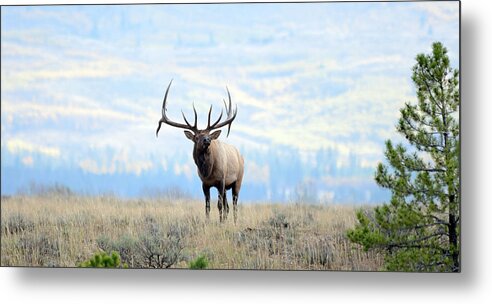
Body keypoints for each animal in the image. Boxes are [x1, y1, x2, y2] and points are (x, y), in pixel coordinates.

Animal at [156, 80, 244, 223]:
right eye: (196, 137)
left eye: (208, 135)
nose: (207, 140)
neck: (208, 172)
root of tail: (240, 155)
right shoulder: (204, 183)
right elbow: (207, 206)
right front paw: (209, 221)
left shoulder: (221, 180)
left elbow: (219, 205)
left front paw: (220, 223)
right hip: (227, 187)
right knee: (228, 206)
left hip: (238, 180)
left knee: (234, 204)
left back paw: (234, 222)